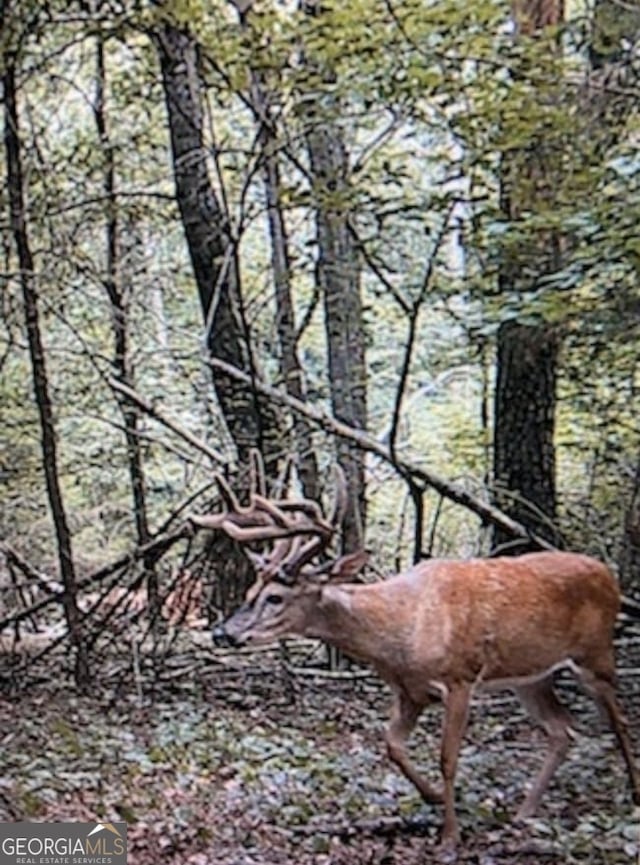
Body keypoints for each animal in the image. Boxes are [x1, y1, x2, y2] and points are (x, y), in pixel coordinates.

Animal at [195, 456, 640, 848]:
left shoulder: (460, 679)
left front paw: (449, 836)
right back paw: (524, 812)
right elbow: (391, 744)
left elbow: (447, 758)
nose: (222, 633)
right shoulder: (410, 691)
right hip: (532, 677)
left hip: (595, 655)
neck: (401, 630)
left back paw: (633, 795)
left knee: (618, 721)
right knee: (562, 730)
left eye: (275, 597)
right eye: (250, 591)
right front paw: (435, 799)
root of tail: (608, 574)